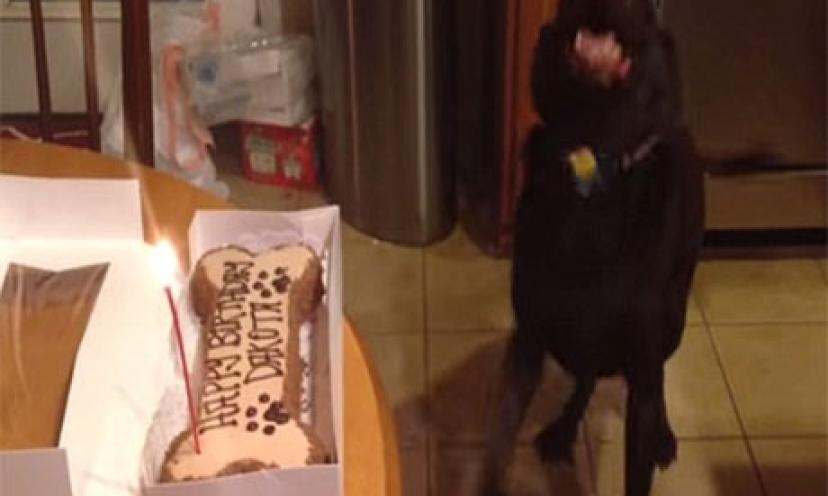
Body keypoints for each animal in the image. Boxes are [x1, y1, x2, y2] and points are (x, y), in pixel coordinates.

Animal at [482, 0, 704, 495]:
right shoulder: (527, 342)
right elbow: (497, 447)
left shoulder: (642, 370)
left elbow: (640, 455)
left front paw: (654, 439)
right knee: (585, 375)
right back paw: (564, 428)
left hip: (674, 320)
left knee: (658, 374)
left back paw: (663, 436)